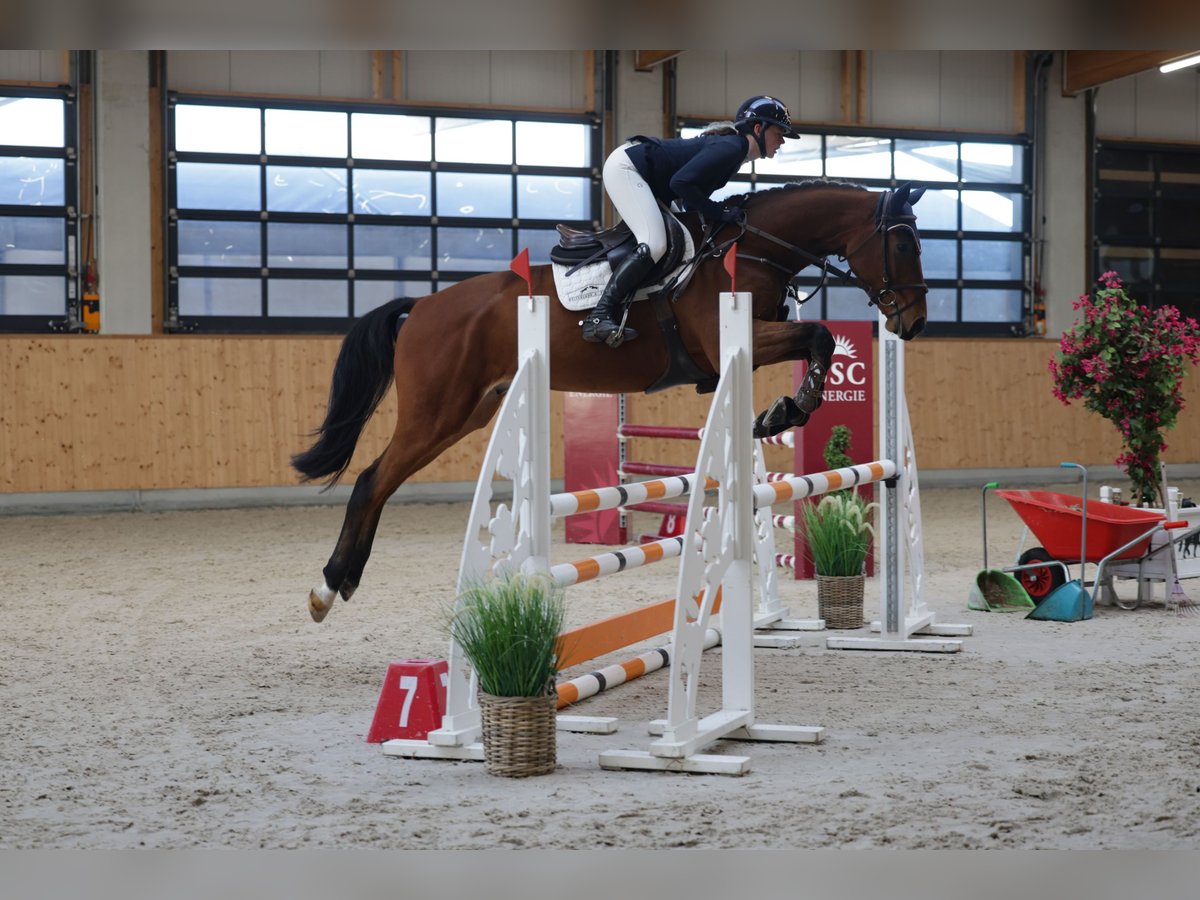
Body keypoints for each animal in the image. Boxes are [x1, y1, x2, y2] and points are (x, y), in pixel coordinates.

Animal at [290, 180, 926, 624]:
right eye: (902, 242)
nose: (913, 323)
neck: (755, 249)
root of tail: (421, 307)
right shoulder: (732, 341)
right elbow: (818, 334)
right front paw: (790, 408)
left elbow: (817, 338)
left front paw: (780, 411)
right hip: (437, 412)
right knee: (372, 480)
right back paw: (327, 587)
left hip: (469, 411)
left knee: (380, 480)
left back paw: (337, 583)